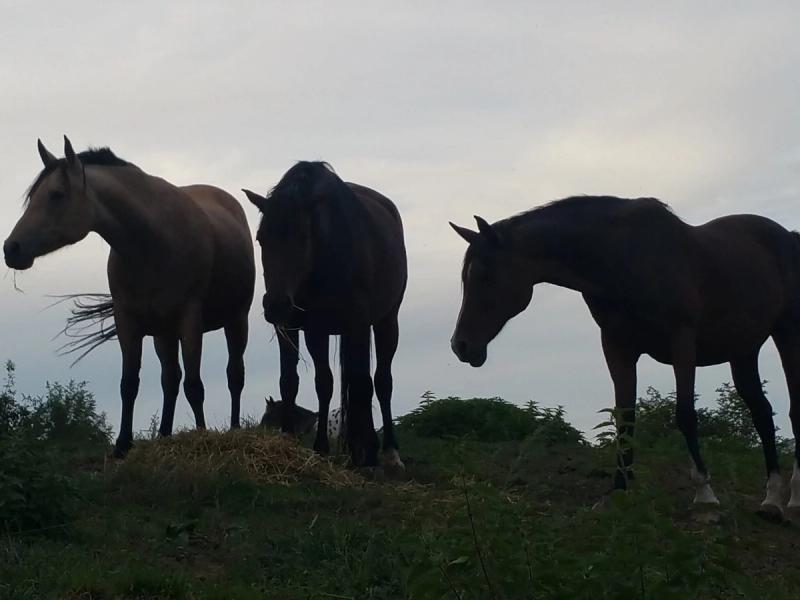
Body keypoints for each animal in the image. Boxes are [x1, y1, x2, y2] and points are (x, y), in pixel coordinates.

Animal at [3, 137, 255, 457]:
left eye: (56, 195)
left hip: (236, 320)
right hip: (164, 333)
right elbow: (129, 383)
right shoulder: (128, 322)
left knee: (234, 375)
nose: (11, 248)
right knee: (170, 379)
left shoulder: (190, 320)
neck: (152, 243)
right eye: (33, 197)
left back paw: (233, 428)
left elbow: (195, 385)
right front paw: (123, 444)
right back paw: (164, 434)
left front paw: (202, 436)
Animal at [242, 161, 407, 467]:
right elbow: (301, 381)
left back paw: (387, 451)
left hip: (385, 322)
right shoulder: (304, 329)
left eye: (303, 236)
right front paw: (306, 444)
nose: (276, 305)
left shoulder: (353, 324)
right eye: (260, 238)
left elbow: (361, 384)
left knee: (380, 382)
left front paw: (366, 453)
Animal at [450, 195, 800, 520]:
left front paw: (705, 496)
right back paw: (771, 500)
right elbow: (624, 418)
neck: (625, 258)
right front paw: (618, 491)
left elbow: (685, 415)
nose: (461, 346)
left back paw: (792, 499)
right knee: (762, 413)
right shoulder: (617, 347)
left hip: (786, 335)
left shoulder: (682, 342)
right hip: (744, 351)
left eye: (484, 275)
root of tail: (788, 236)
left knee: (791, 411)